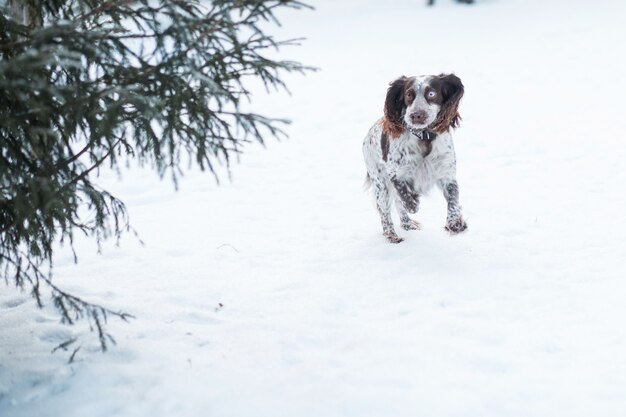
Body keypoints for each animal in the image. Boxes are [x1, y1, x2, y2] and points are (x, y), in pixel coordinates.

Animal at [358, 73, 466, 242]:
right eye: (408, 94)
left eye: (431, 93)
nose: (416, 115)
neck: (424, 137)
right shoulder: (395, 173)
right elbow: (403, 192)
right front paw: (413, 203)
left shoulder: (447, 174)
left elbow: (453, 199)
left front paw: (455, 222)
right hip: (380, 183)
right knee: (385, 211)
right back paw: (392, 235)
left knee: (397, 204)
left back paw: (407, 223)